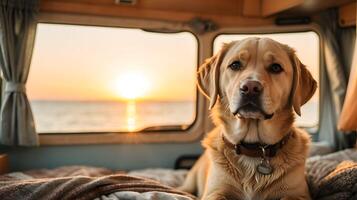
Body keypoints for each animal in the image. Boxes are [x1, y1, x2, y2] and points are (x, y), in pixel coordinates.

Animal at [179, 38, 316, 200]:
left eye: (276, 67)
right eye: (235, 65)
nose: (250, 87)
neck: (254, 149)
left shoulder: (298, 194)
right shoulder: (214, 191)